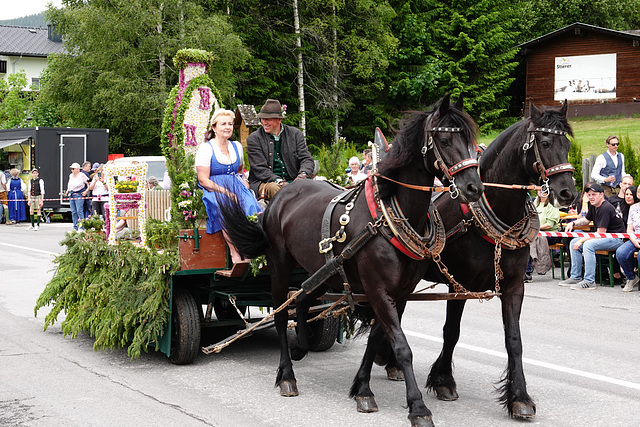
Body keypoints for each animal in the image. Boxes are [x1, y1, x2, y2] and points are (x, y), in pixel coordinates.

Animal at [221, 95, 484, 426]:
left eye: (471, 141)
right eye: (446, 139)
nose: (474, 187)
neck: (389, 218)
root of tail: (284, 193)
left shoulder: (399, 293)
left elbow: (377, 338)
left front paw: (362, 389)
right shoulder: (377, 290)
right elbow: (402, 347)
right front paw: (417, 407)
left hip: (322, 272)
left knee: (303, 301)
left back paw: (302, 347)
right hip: (280, 265)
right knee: (282, 314)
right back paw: (287, 375)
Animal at [378, 99, 576, 422]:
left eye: (568, 144)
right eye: (545, 142)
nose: (567, 192)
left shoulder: (513, 286)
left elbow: (514, 340)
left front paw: (519, 398)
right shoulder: (459, 285)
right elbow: (451, 332)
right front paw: (443, 380)